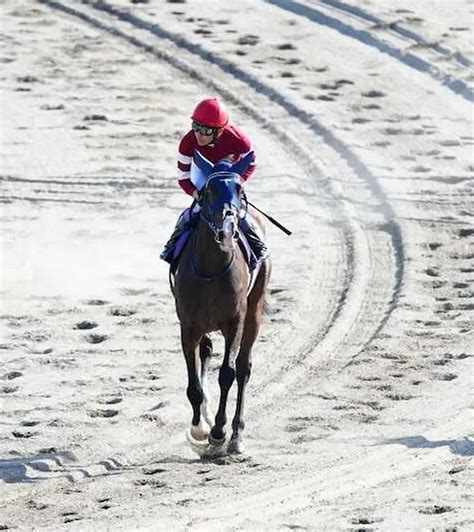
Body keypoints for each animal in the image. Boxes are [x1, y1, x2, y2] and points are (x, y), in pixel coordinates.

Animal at [172, 152, 272, 456]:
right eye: (210, 191)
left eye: (239, 190)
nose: (228, 227)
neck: (210, 269)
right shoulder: (189, 325)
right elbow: (193, 384)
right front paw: (199, 430)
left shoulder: (234, 321)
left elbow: (227, 373)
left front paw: (218, 432)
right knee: (206, 352)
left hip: (254, 310)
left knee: (243, 368)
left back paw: (237, 435)